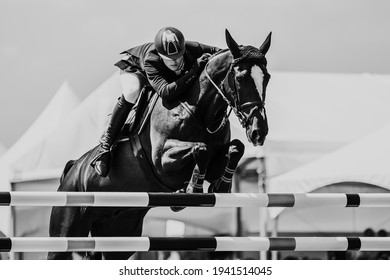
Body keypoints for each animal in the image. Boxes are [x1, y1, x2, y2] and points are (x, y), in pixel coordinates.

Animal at [48, 29, 272, 260]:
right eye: (240, 78)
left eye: (267, 78)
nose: (259, 132)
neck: (200, 113)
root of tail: (72, 170)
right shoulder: (162, 161)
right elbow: (200, 148)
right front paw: (193, 188)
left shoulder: (216, 158)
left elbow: (236, 148)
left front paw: (221, 185)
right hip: (66, 231)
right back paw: (102, 158)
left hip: (119, 235)